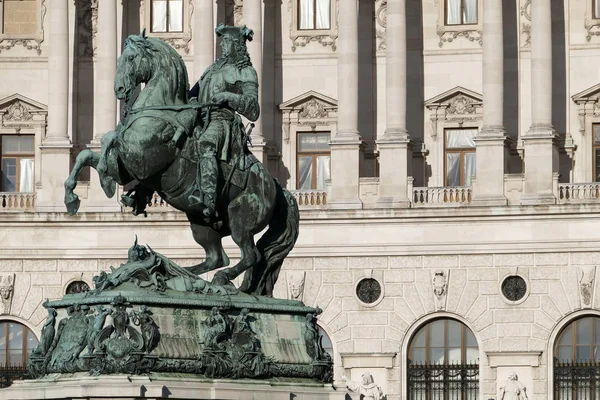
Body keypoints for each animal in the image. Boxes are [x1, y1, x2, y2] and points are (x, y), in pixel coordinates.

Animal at [64, 32, 298, 296]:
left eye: (131, 58)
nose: (119, 89)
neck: (160, 111)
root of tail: (275, 186)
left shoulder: (140, 162)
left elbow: (109, 139)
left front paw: (104, 181)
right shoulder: (127, 169)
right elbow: (88, 153)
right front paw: (72, 196)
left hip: (241, 219)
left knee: (251, 255)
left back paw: (214, 278)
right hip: (202, 224)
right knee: (217, 257)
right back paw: (181, 274)